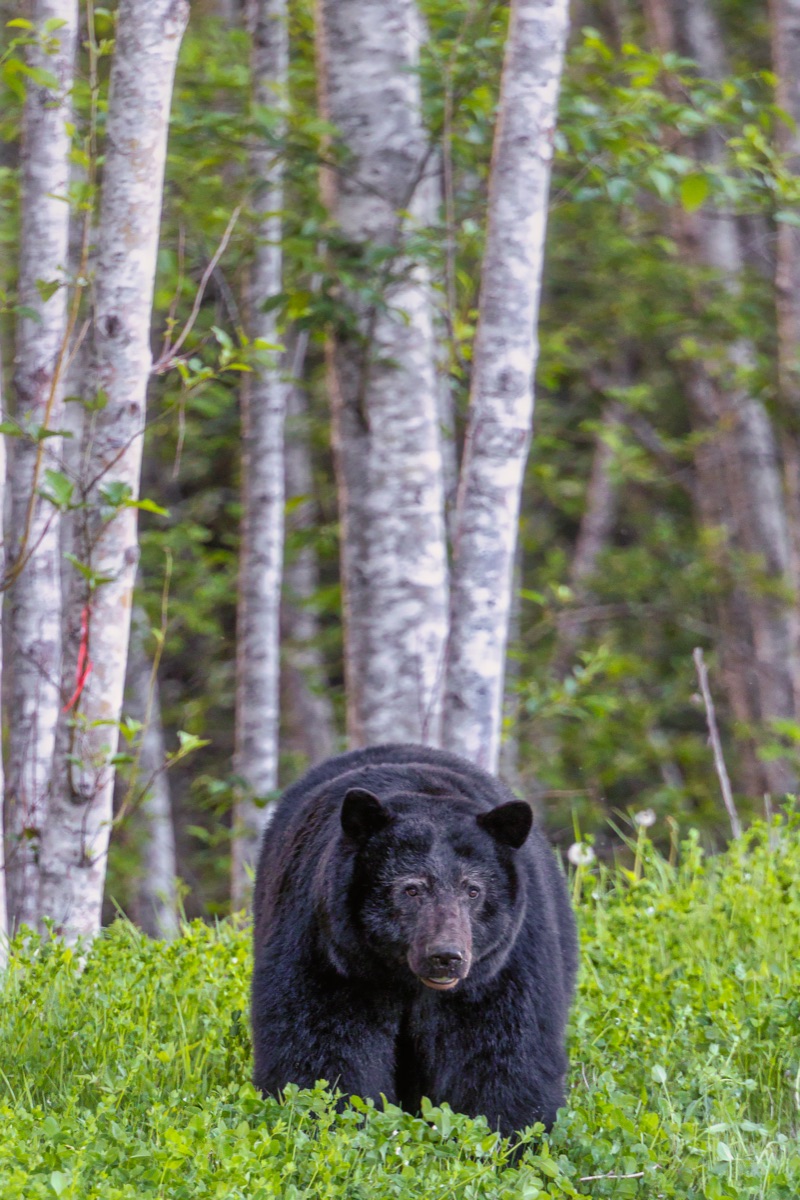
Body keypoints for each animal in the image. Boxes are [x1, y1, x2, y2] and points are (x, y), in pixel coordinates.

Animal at [251, 743, 578, 1138]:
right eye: (411, 889)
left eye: (473, 889)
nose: (446, 956)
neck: (407, 981)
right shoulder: (330, 953)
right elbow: (320, 1040)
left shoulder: (501, 967)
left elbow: (502, 1051)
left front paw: (510, 1133)